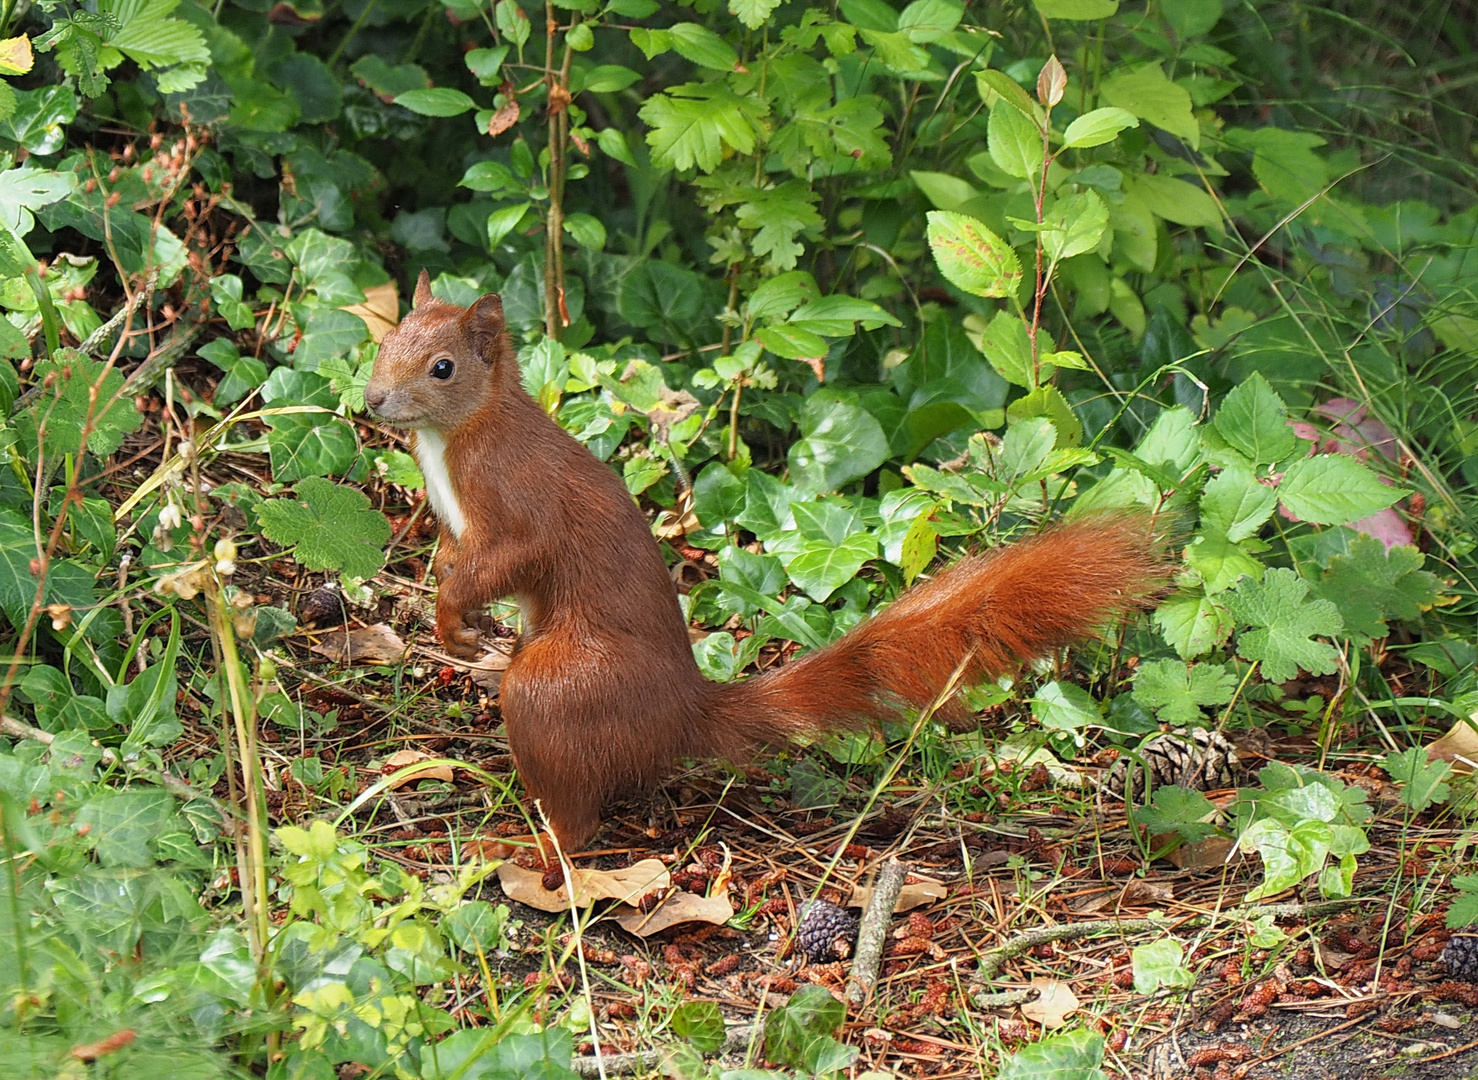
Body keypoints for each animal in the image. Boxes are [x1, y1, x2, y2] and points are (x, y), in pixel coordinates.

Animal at [363, 274, 1158, 856]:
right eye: (384, 339)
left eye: (442, 368)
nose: (371, 399)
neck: (457, 437)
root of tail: (683, 713)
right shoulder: (454, 520)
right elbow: (454, 556)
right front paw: (444, 606)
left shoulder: (518, 505)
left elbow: (507, 560)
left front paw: (452, 620)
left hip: (560, 690)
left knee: (578, 812)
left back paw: (530, 848)